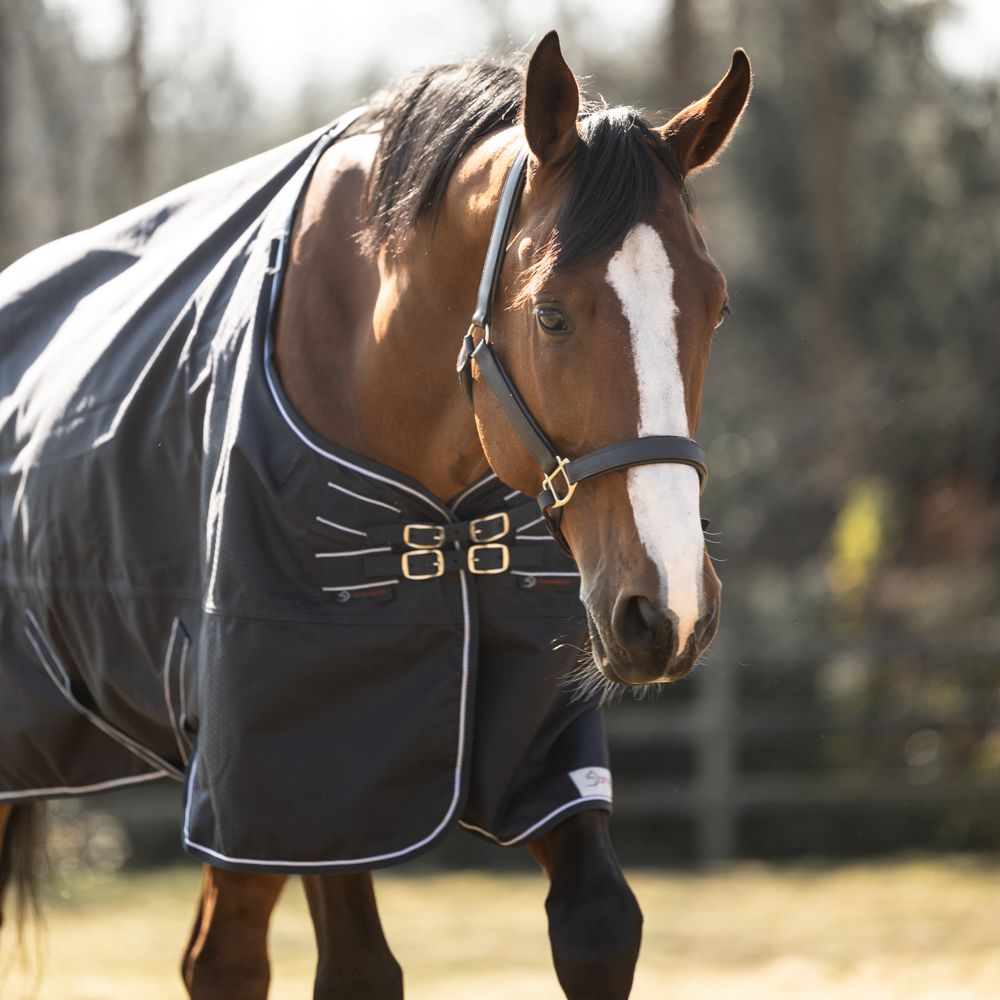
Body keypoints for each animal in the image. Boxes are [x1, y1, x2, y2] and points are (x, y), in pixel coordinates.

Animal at [0, 31, 750, 999]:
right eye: (550, 314)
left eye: (715, 308)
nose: (668, 611)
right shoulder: (308, 779)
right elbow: (350, 967)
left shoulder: (539, 753)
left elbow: (599, 926)